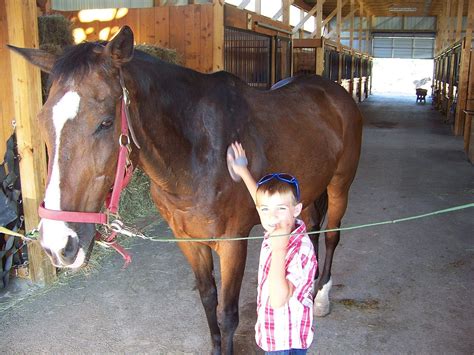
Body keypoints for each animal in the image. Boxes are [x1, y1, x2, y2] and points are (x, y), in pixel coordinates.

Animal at [9, 26, 362, 354]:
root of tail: (333, 91)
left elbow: (228, 313)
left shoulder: (232, 244)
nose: (58, 244)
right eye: (42, 121)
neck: (199, 151)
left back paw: (321, 297)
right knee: (311, 229)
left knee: (332, 234)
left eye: (106, 122)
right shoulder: (188, 241)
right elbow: (208, 300)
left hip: (340, 185)